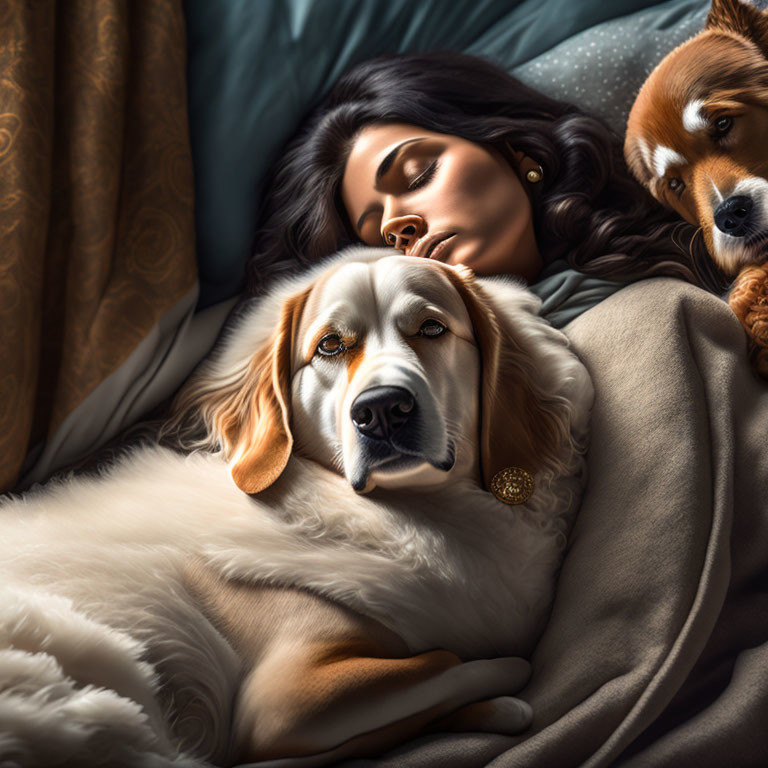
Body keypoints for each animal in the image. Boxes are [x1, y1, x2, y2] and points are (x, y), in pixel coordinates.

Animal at [0, 249, 592, 764]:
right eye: (330, 345)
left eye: (431, 329)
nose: (382, 410)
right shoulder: (285, 699)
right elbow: (457, 660)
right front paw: (505, 687)